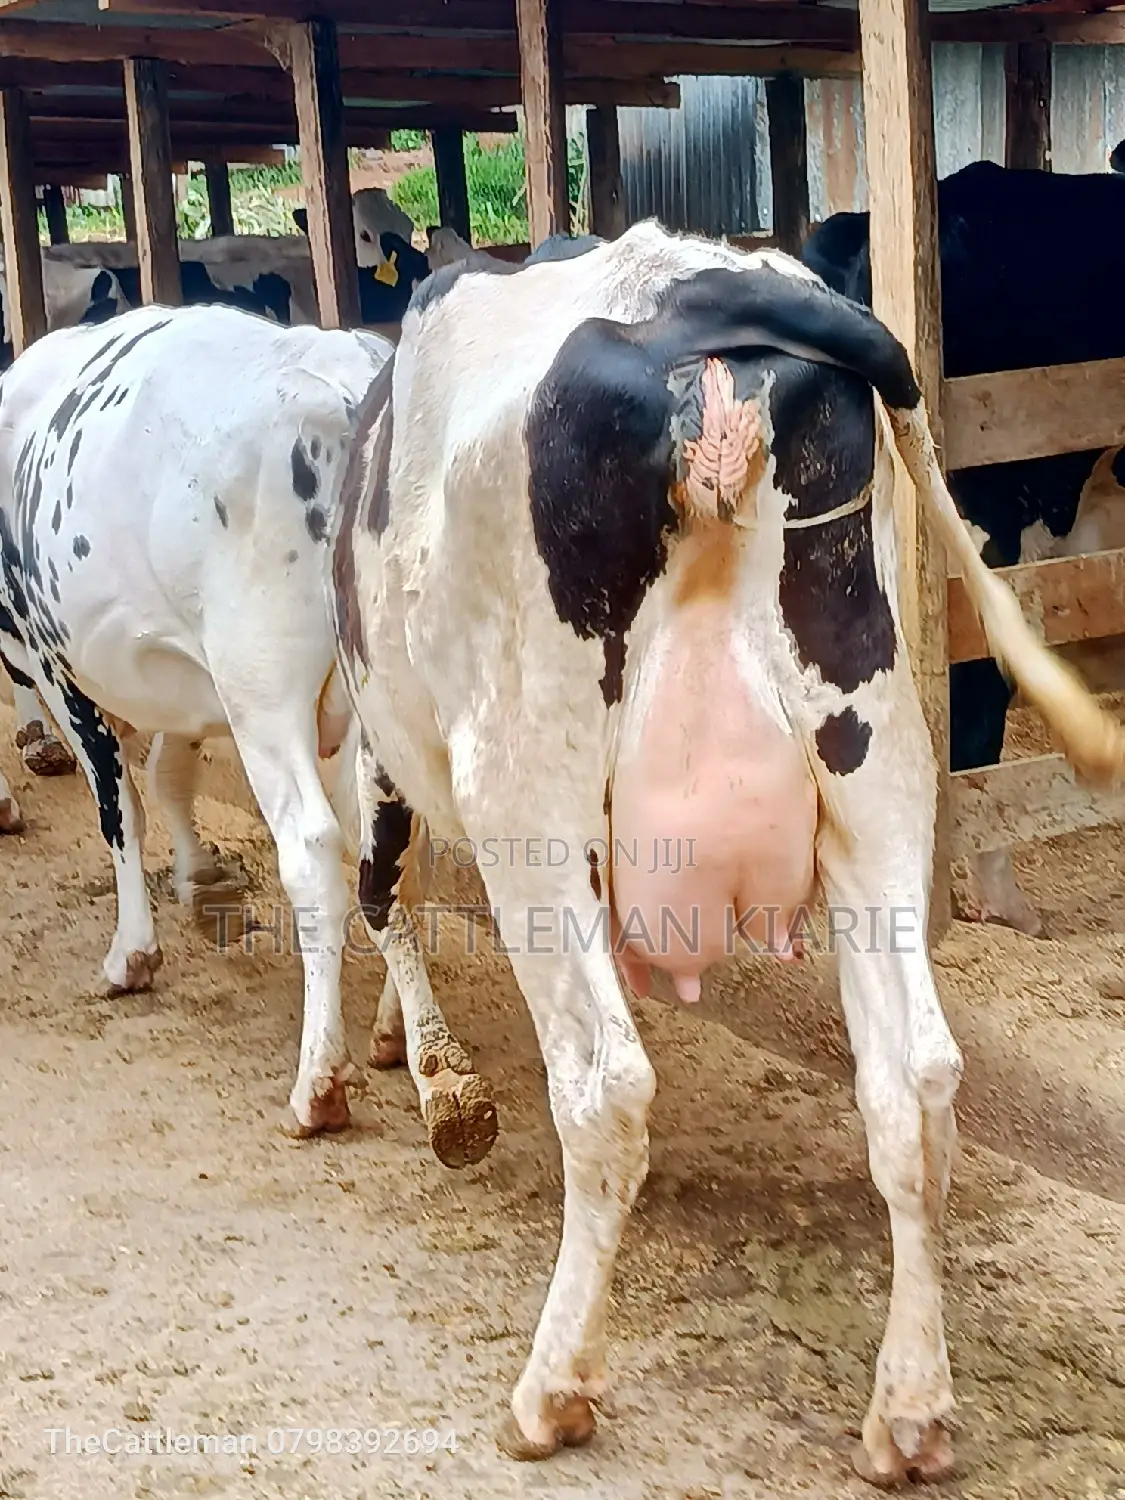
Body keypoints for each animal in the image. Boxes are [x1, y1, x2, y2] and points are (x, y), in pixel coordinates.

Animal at [0, 303, 498, 1152]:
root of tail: (347, 385)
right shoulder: (187, 679)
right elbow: (169, 774)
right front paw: (200, 879)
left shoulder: (63, 660)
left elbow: (120, 805)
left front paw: (132, 953)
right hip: (378, 699)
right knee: (401, 857)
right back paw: (418, 1053)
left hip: (261, 687)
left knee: (313, 850)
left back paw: (319, 1084)